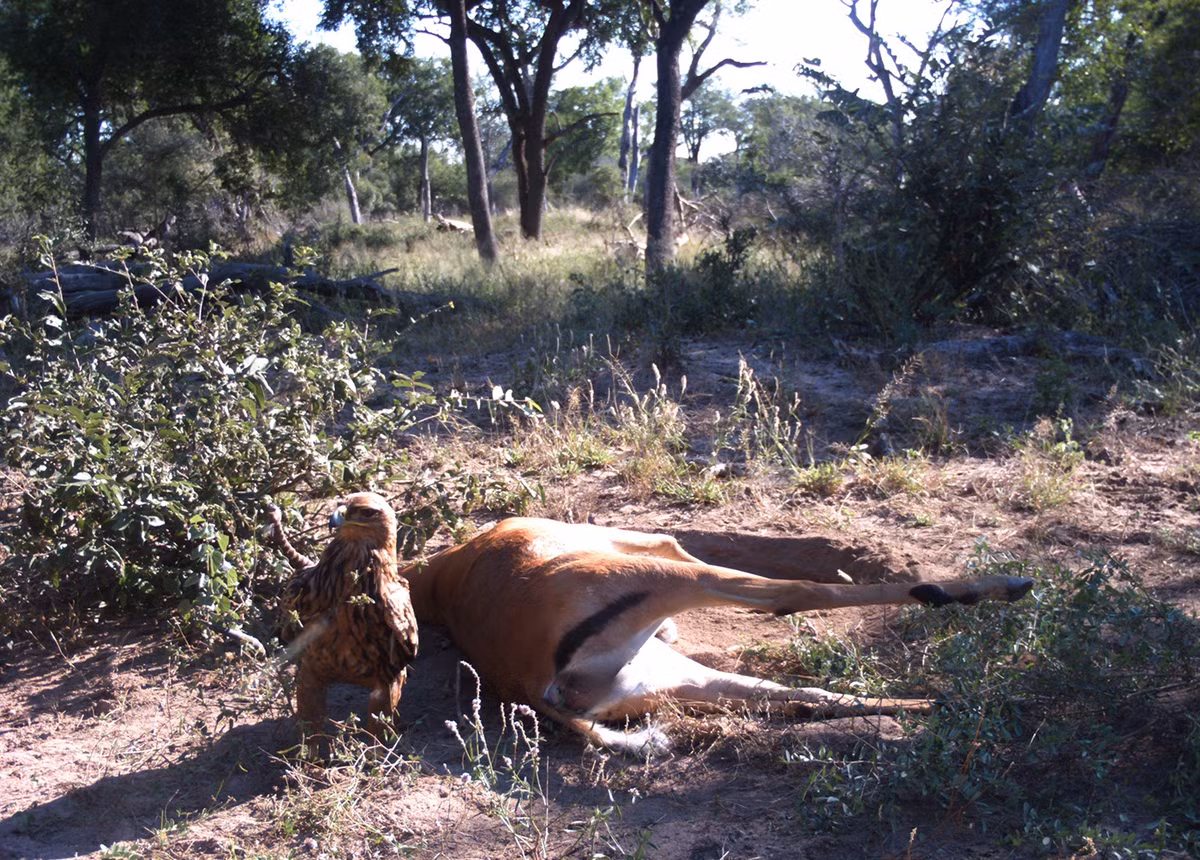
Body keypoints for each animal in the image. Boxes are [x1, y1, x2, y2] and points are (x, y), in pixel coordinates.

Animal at [273, 509, 1034, 754]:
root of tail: (536, 684)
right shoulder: (671, 555)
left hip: (678, 676)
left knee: (805, 698)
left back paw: (947, 703)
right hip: (678, 580)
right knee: (797, 598)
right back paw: (998, 588)